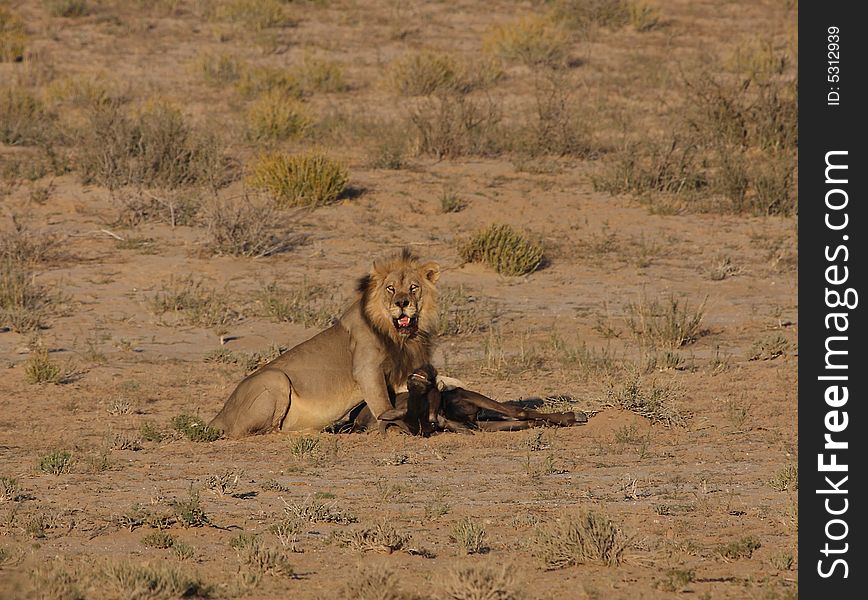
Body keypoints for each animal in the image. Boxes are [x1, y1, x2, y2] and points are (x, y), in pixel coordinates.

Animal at [209, 248, 440, 436]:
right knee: (265, 431)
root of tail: (220, 415)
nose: (402, 303)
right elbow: (382, 403)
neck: (400, 336)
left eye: (413, 287)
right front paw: (392, 427)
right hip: (277, 379)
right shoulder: (366, 369)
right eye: (390, 288)